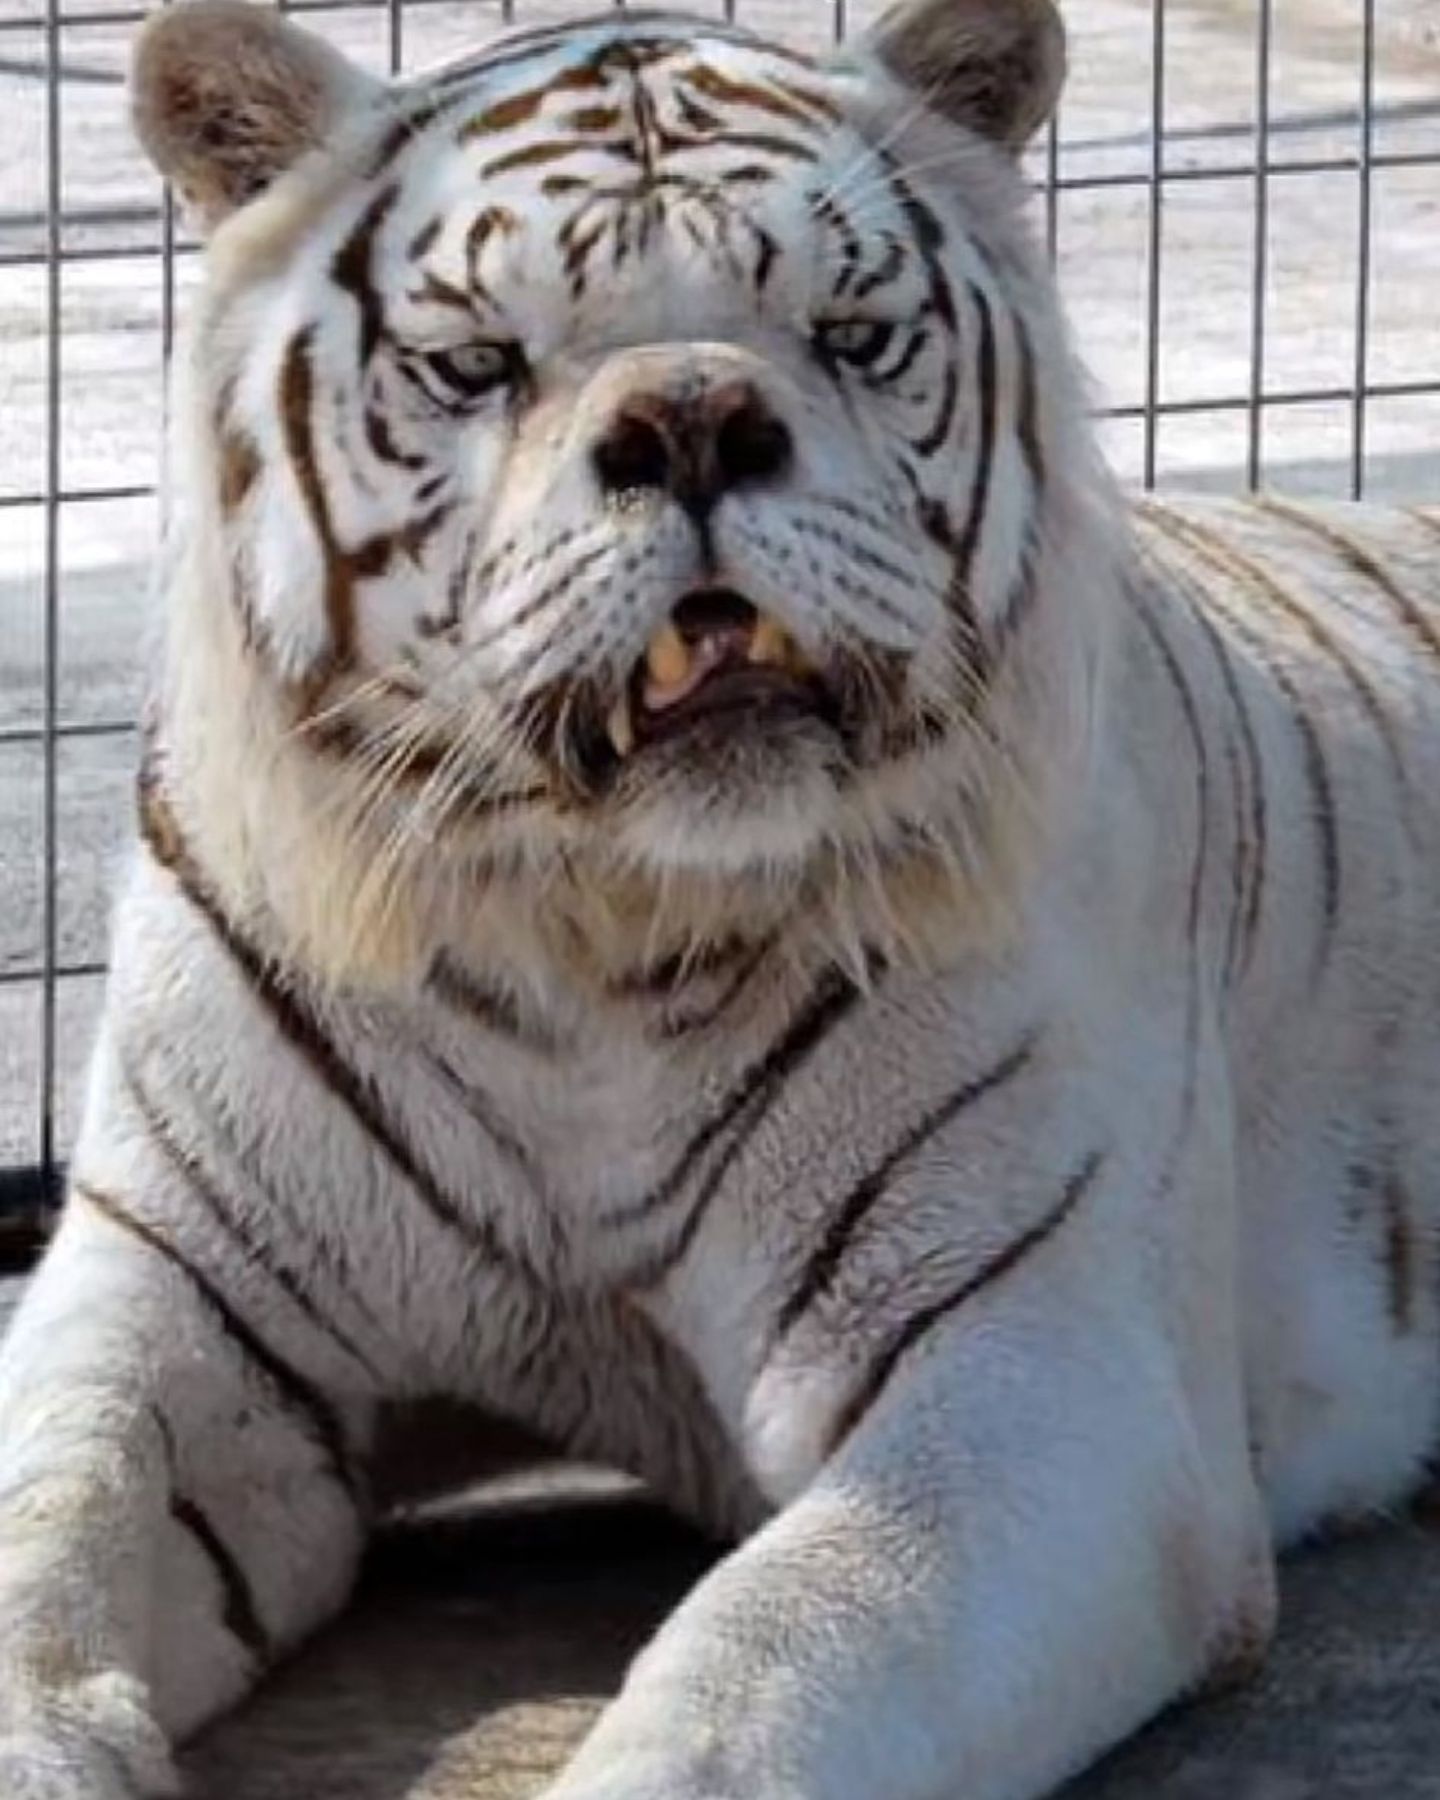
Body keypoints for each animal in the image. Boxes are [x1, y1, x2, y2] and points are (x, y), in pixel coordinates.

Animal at [2, 0, 1440, 1792]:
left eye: (849, 332)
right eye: (479, 363)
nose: (692, 420)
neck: (587, 938)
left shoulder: (1034, 1357)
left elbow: (765, 1665)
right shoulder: (184, 1298)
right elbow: (49, 1522)